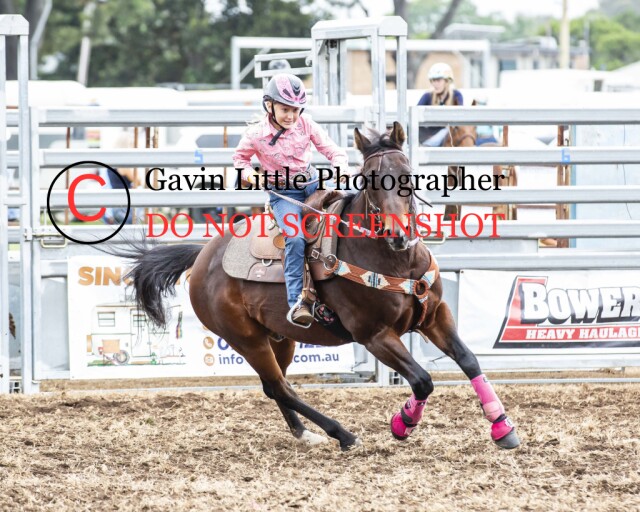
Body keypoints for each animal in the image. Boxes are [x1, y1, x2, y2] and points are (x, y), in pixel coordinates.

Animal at [114, 122, 520, 451]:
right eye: (370, 178)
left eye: (406, 174)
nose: (398, 235)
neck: (393, 259)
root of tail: (202, 256)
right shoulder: (374, 334)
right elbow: (422, 380)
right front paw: (402, 424)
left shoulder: (435, 315)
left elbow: (469, 360)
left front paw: (503, 428)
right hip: (245, 338)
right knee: (279, 386)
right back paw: (342, 434)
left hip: (281, 336)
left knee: (276, 386)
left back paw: (305, 434)